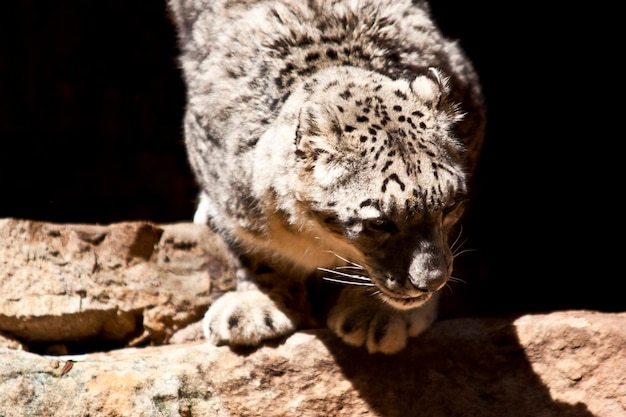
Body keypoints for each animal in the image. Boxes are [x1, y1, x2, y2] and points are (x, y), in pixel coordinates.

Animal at [168, 0, 486, 352]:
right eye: (379, 222)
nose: (431, 281)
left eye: (450, 205)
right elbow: (254, 249)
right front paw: (256, 308)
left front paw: (377, 315)